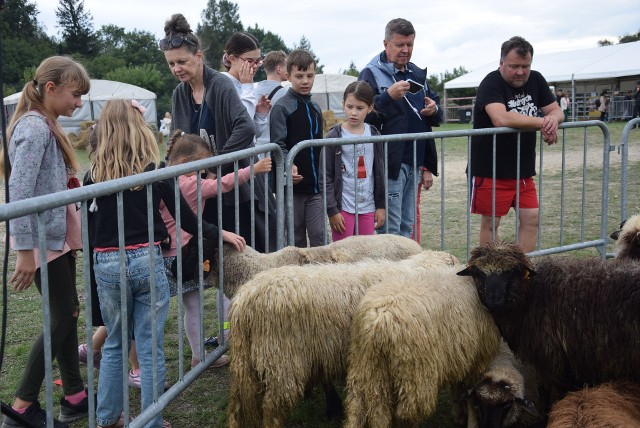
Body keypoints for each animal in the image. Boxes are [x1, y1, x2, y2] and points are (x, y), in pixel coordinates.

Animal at [342, 264, 502, 428]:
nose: (494, 300)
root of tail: (377, 322)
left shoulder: (461, 357)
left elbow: (458, 389)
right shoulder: (477, 360)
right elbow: (466, 393)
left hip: (367, 367)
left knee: (361, 409)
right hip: (415, 376)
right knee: (405, 415)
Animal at [458, 242, 640, 402]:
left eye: (510, 272)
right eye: (478, 273)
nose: (493, 299)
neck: (531, 294)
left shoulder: (551, 356)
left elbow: (549, 392)